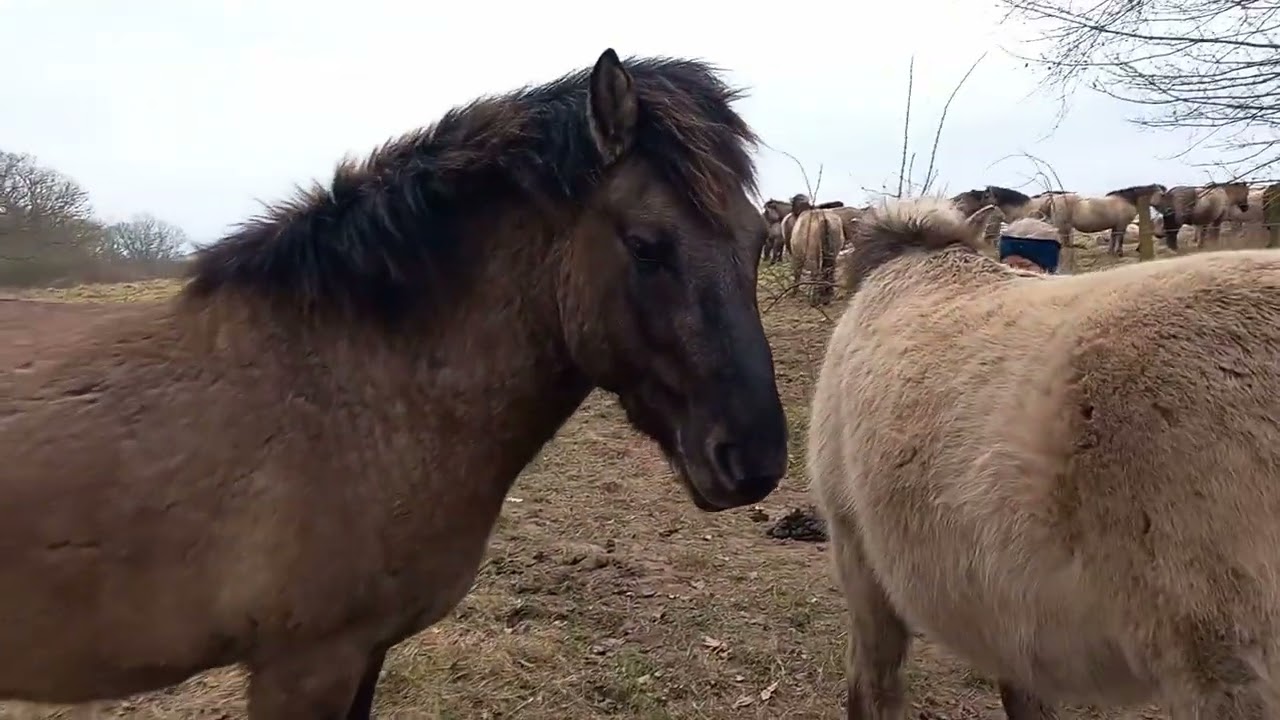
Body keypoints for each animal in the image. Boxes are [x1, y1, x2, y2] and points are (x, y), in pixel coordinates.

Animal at [0, 48, 789, 719]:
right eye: (646, 246)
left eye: (758, 243)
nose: (755, 461)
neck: (352, 400)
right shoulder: (305, 665)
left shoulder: (366, 652)